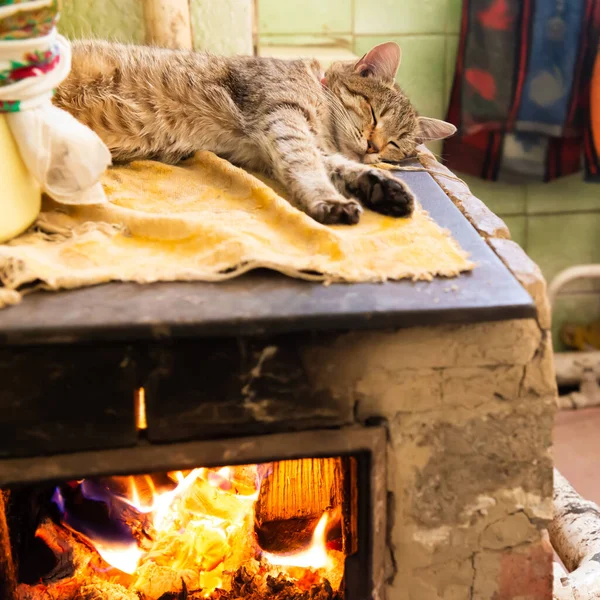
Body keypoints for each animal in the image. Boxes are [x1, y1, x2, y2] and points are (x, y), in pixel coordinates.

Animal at [56, 40, 458, 225]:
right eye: (375, 114)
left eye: (395, 145)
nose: (373, 147)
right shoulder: (283, 118)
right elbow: (307, 166)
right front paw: (329, 199)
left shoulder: (271, 145)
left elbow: (338, 165)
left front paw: (379, 186)